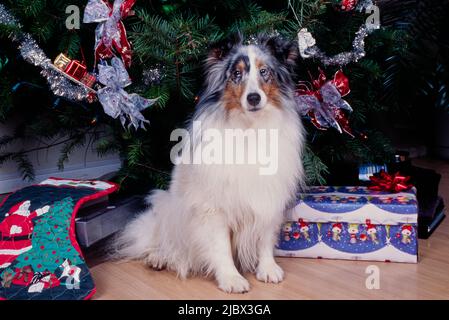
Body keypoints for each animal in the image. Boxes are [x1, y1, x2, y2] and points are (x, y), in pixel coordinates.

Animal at [114, 34, 306, 292]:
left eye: (264, 71)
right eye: (236, 74)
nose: (254, 98)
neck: (250, 128)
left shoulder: (269, 198)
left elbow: (265, 238)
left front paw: (267, 269)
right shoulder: (213, 209)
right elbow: (220, 247)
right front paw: (231, 279)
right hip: (167, 207)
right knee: (161, 241)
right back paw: (159, 258)